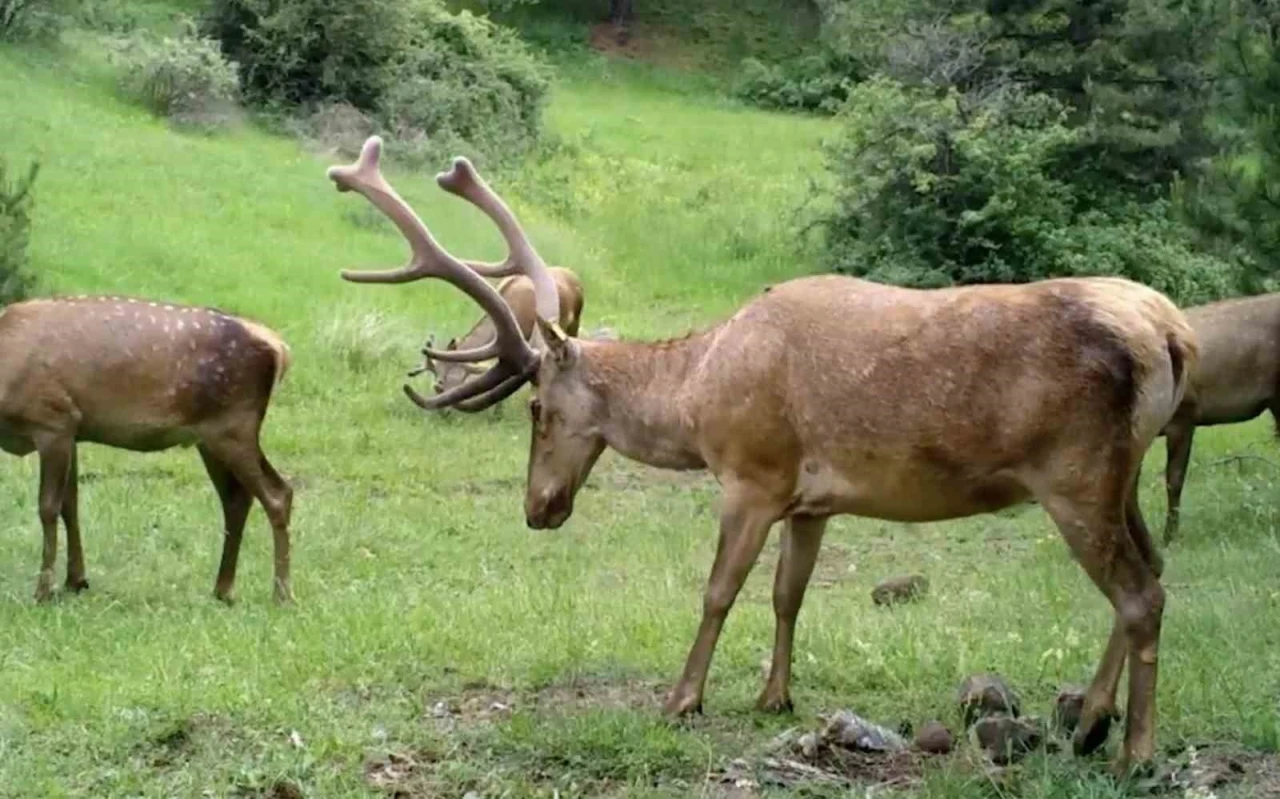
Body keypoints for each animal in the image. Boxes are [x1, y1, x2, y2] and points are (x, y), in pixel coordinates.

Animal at [0, 297, 294, 601]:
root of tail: (281, 349)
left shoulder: (53, 421)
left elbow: (48, 508)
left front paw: (43, 592)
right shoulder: (73, 431)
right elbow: (70, 505)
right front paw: (75, 581)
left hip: (233, 427)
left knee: (277, 493)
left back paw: (281, 594)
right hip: (213, 437)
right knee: (237, 498)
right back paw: (223, 590)